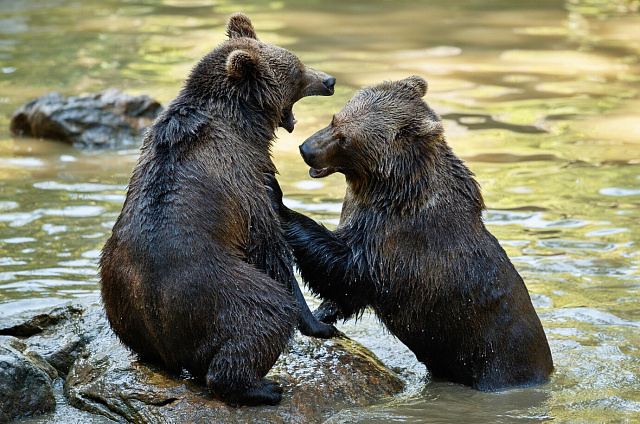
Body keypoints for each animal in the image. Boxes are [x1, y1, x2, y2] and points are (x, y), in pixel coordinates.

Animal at [100, 11, 338, 406]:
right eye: (297, 69)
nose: (330, 80)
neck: (244, 122)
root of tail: (165, 339)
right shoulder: (243, 177)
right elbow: (269, 246)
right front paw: (320, 323)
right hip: (218, 290)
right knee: (264, 314)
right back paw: (262, 386)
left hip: (117, 293)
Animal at [266, 75, 556, 390]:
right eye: (335, 119)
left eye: (345, 138)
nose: (306, 149)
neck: (389, 190)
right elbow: (346, 290)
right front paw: (323, 313)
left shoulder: (398, 239)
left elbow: (348, 268)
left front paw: (277, 198)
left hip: (497, 358)